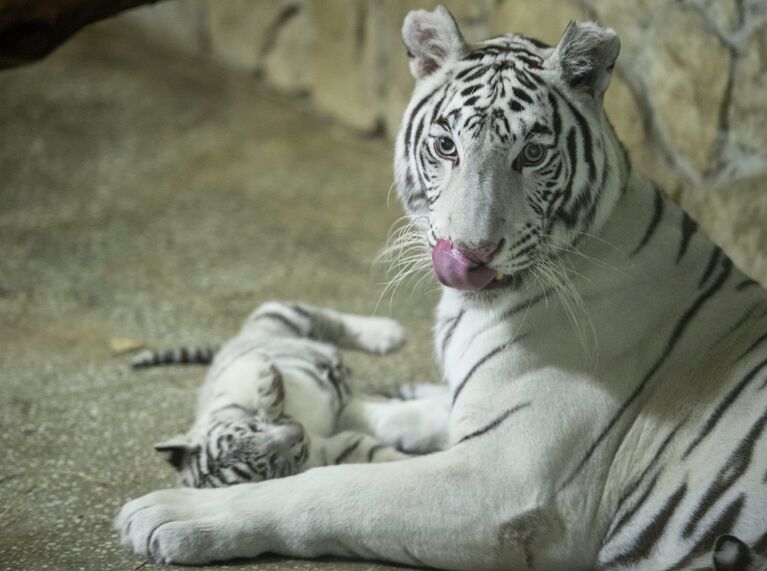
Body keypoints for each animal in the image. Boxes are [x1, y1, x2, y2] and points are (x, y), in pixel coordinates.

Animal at [115, 5, 767, 571]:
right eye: (446, 144)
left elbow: (333, 488)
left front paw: (175, 512)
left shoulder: (505, 482)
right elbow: (410, 409)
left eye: (533, 153)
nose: (469, 254)